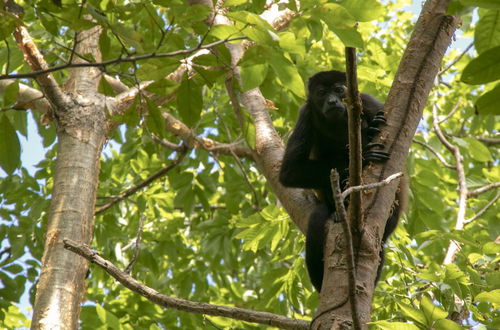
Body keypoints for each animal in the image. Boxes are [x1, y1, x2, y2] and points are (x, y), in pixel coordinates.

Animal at [282, 69, 402, 292]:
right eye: (321, 93)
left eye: (339, 90)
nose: (332, 101)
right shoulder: (306, 115)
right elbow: (289, 171)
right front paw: (364, 155)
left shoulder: (368, 102)